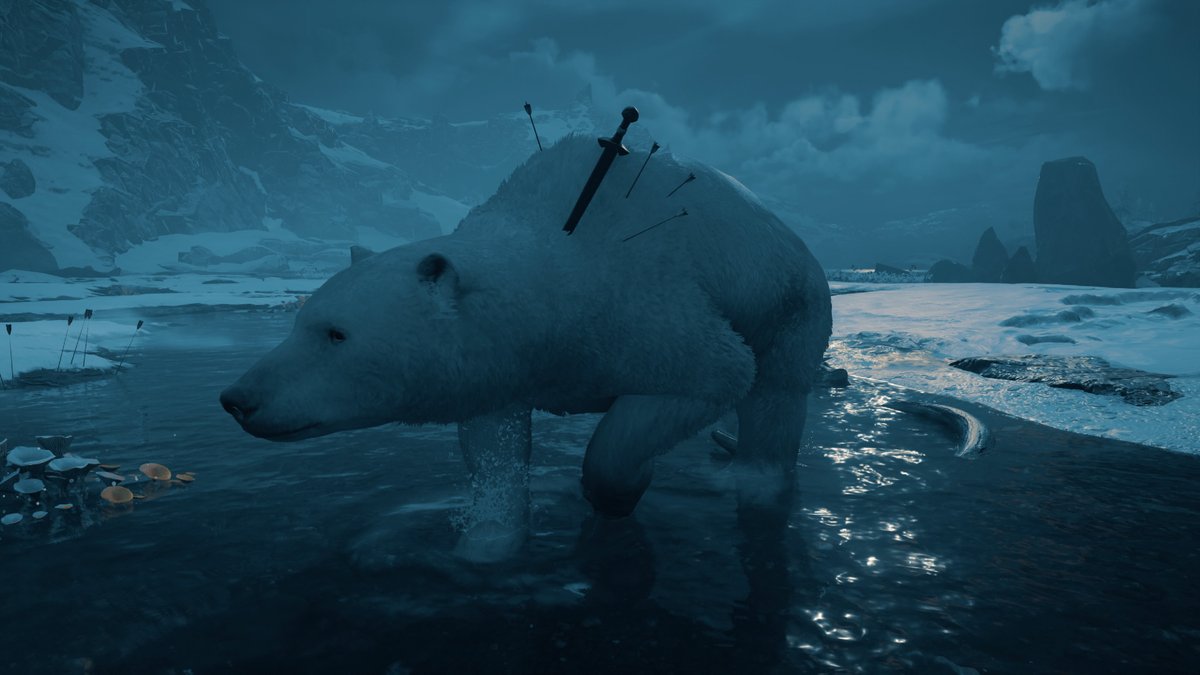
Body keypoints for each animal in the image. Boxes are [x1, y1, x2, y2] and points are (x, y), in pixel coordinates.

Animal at [220, 133, 832, 561]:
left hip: (791, 301)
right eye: (298, 319)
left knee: (775, 397)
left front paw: (617, 491)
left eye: (335, 333)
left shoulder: (644, 303)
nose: (237, 398)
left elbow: (717, 372)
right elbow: (494, 446)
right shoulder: (500, 365)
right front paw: (485, 543)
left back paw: (753, 479)